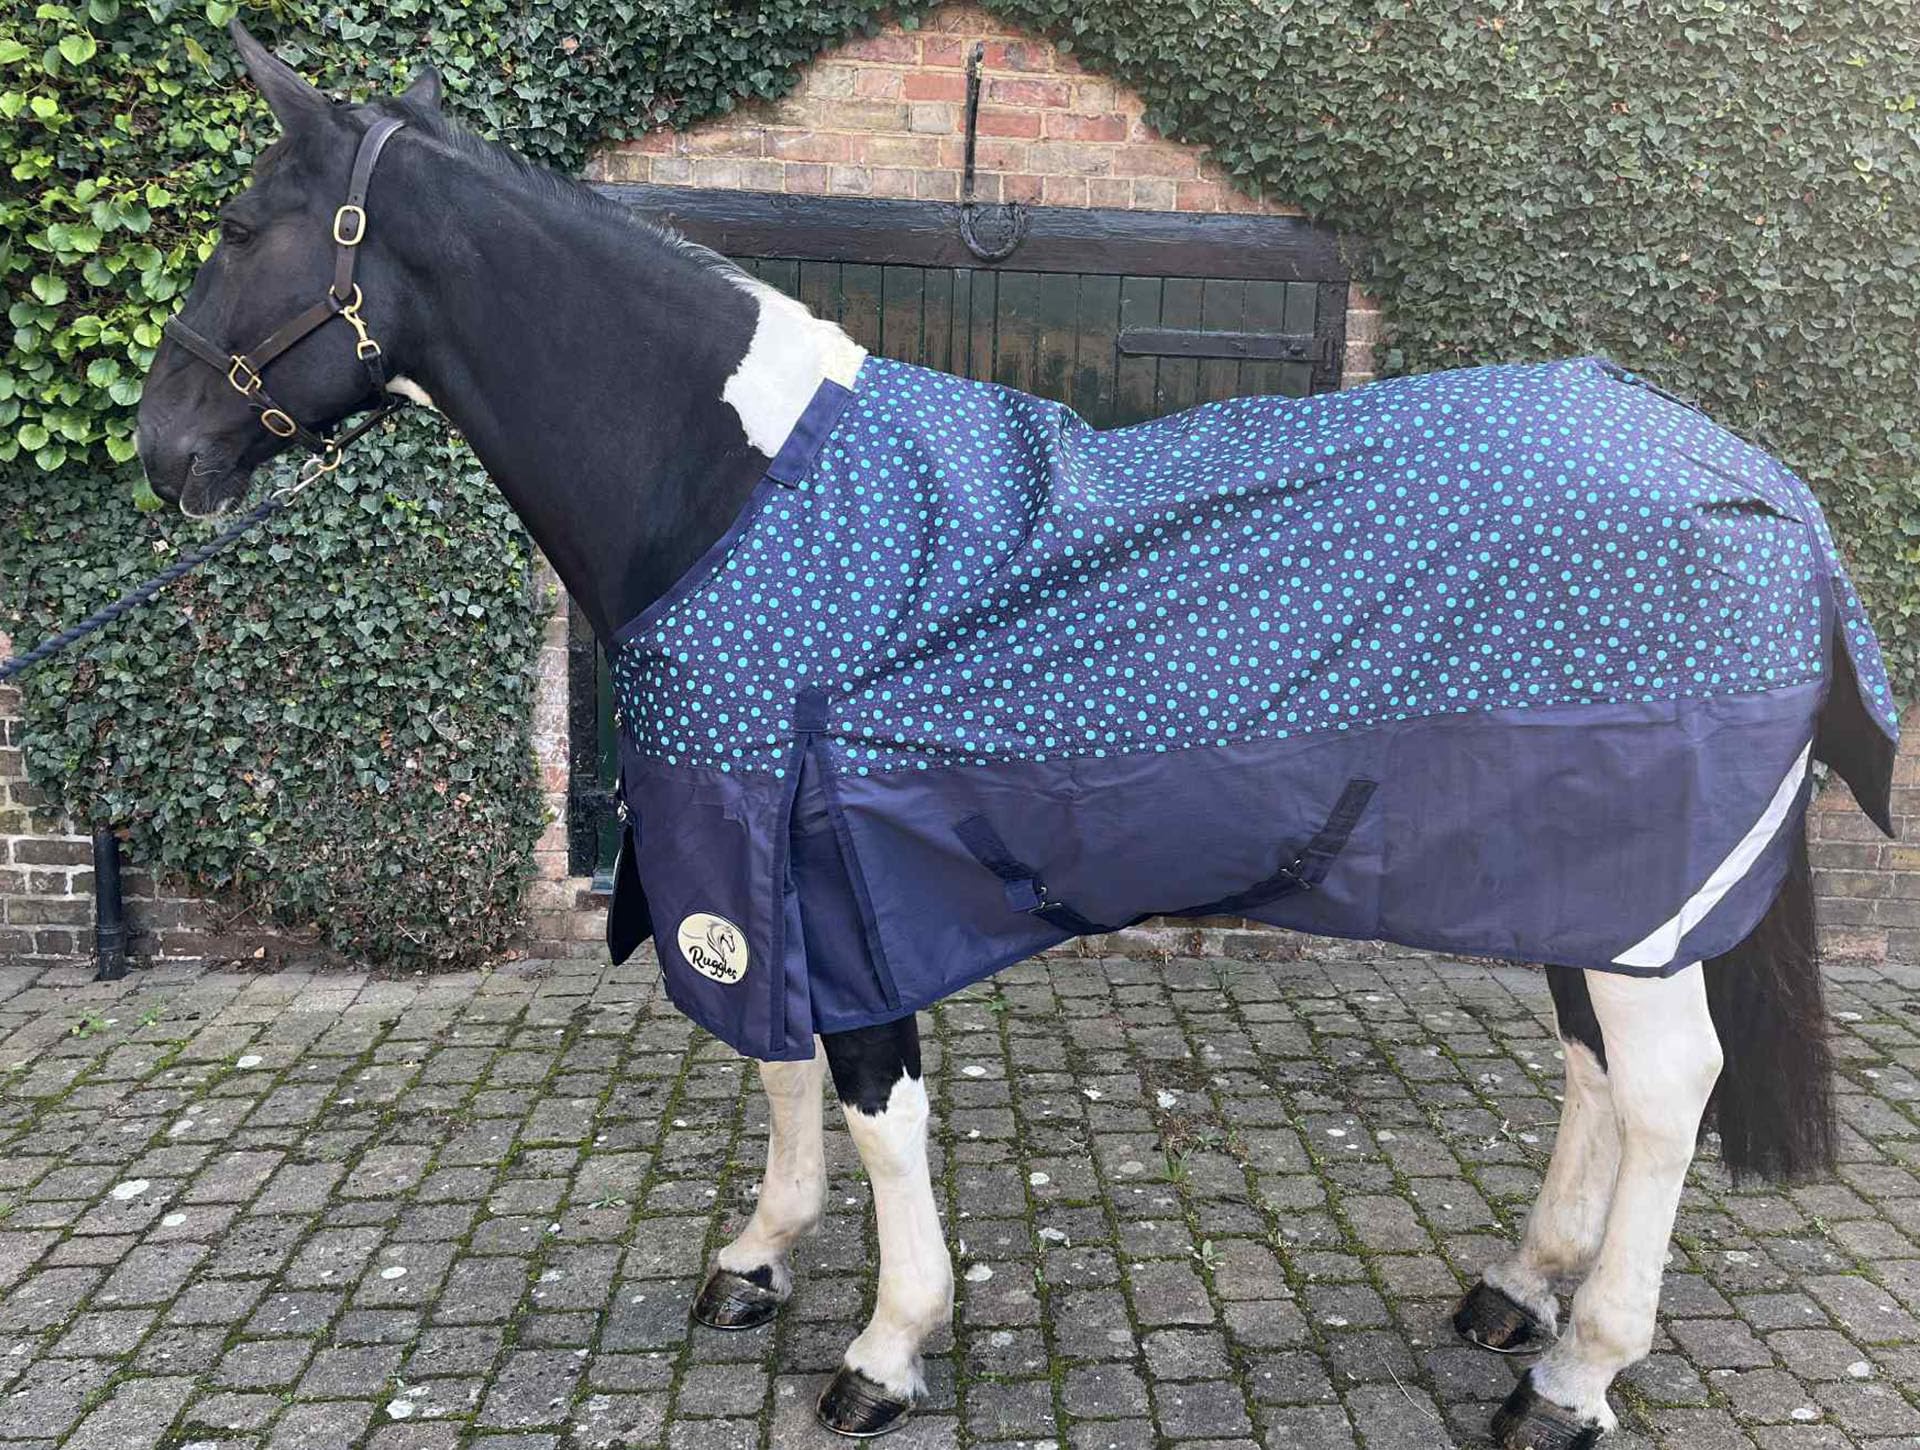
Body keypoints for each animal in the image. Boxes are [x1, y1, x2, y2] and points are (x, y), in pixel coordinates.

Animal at [132, 29, 1898, 1447]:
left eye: (239, 227)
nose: (163, 452)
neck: (737, 491)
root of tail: (1760, 486)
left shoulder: (834, 870)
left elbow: (872, 1101)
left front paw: (883, 1349)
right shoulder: (744, 858)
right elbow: (779, 1066)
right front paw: (758, 1261)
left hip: (1638, 877)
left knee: (1664, 1086)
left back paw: (1575, 1376)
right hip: (1580, 878)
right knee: (1596, 1065)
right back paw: (1518, 1290)